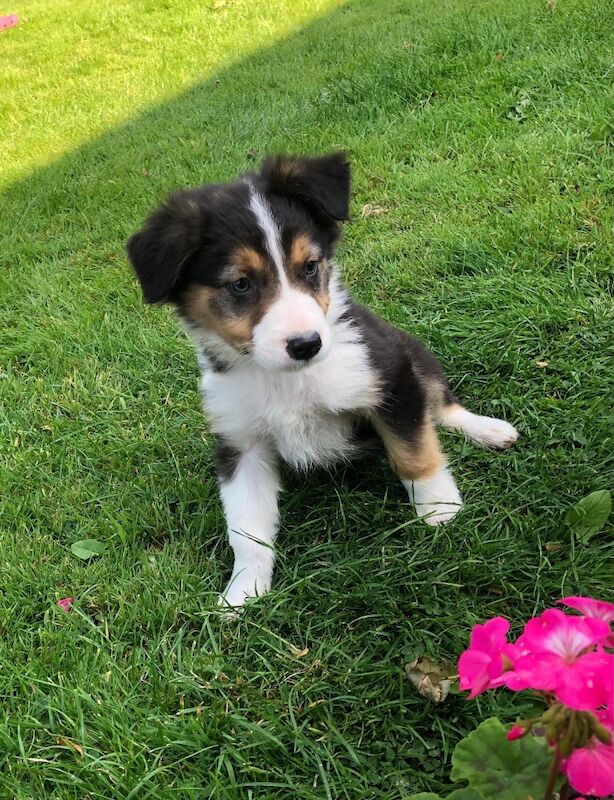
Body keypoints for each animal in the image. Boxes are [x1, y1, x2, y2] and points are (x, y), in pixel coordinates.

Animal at [127, 153, 524, 608]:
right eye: (240, 284)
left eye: (311, 267)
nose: (307, 344)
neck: (286, 380)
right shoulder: (241, 442)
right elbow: (246, 527)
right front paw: (243, 591)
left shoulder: (389, 375)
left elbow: (414, 453)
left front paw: (440, 512)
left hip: (410, 349)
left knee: (440, 405)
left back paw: (489, 430)